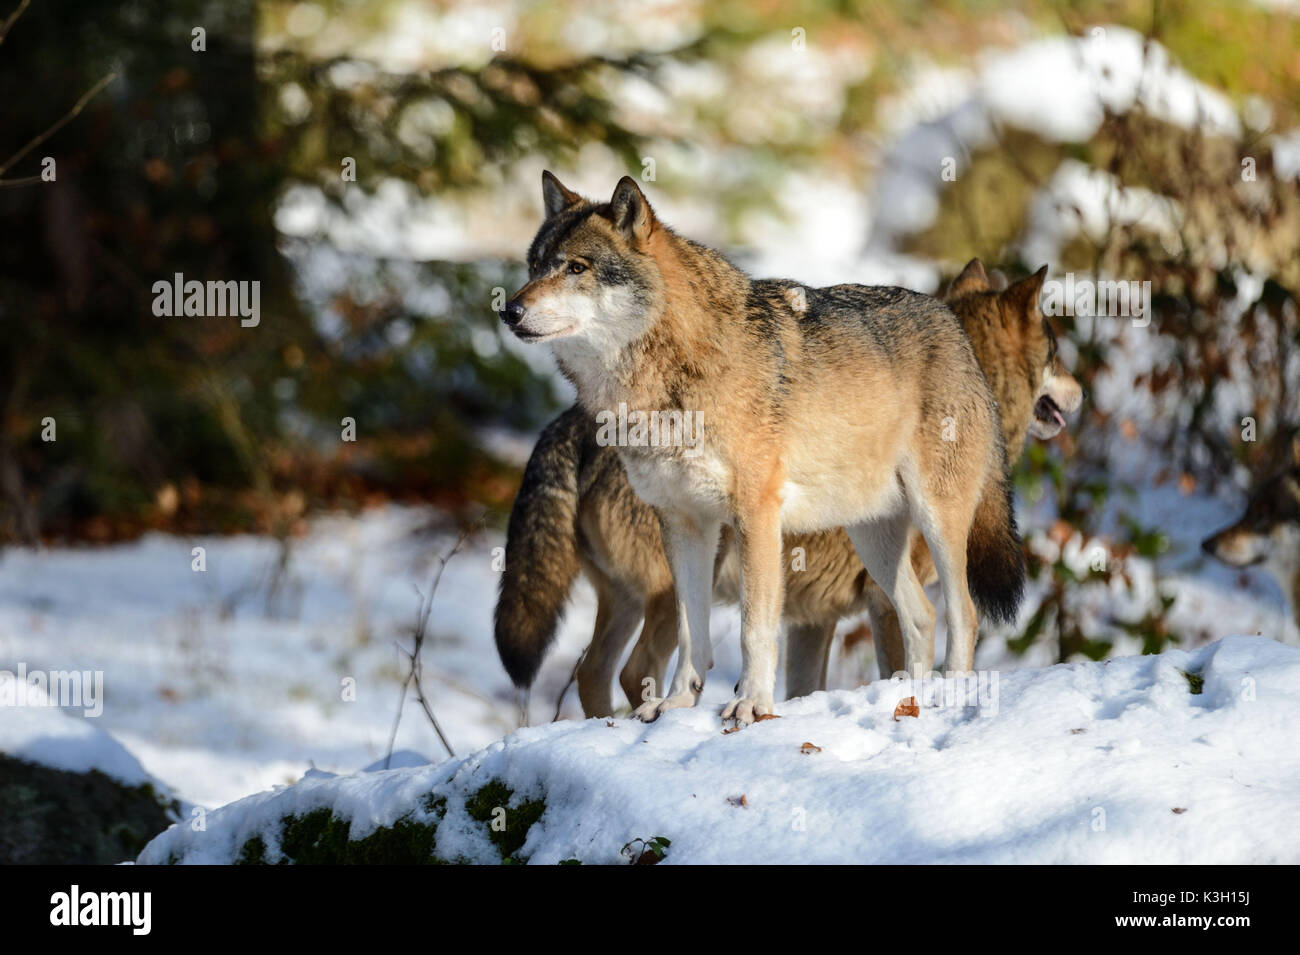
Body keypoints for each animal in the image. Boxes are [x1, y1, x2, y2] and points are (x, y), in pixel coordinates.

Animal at [496, 174, 1024, 722]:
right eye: (535, 267)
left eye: (576, 268)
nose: (508, 309)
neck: (664, 382)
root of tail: (954, 328)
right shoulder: (683, 523)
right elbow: (692, 633)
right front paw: (677, 702)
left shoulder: (756, 515)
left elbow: (755, 628)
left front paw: (750, 704)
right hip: (872, 537)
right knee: (921, 615)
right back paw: (910, 699)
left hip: (936, 519)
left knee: (964, 613)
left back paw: (952, 690)